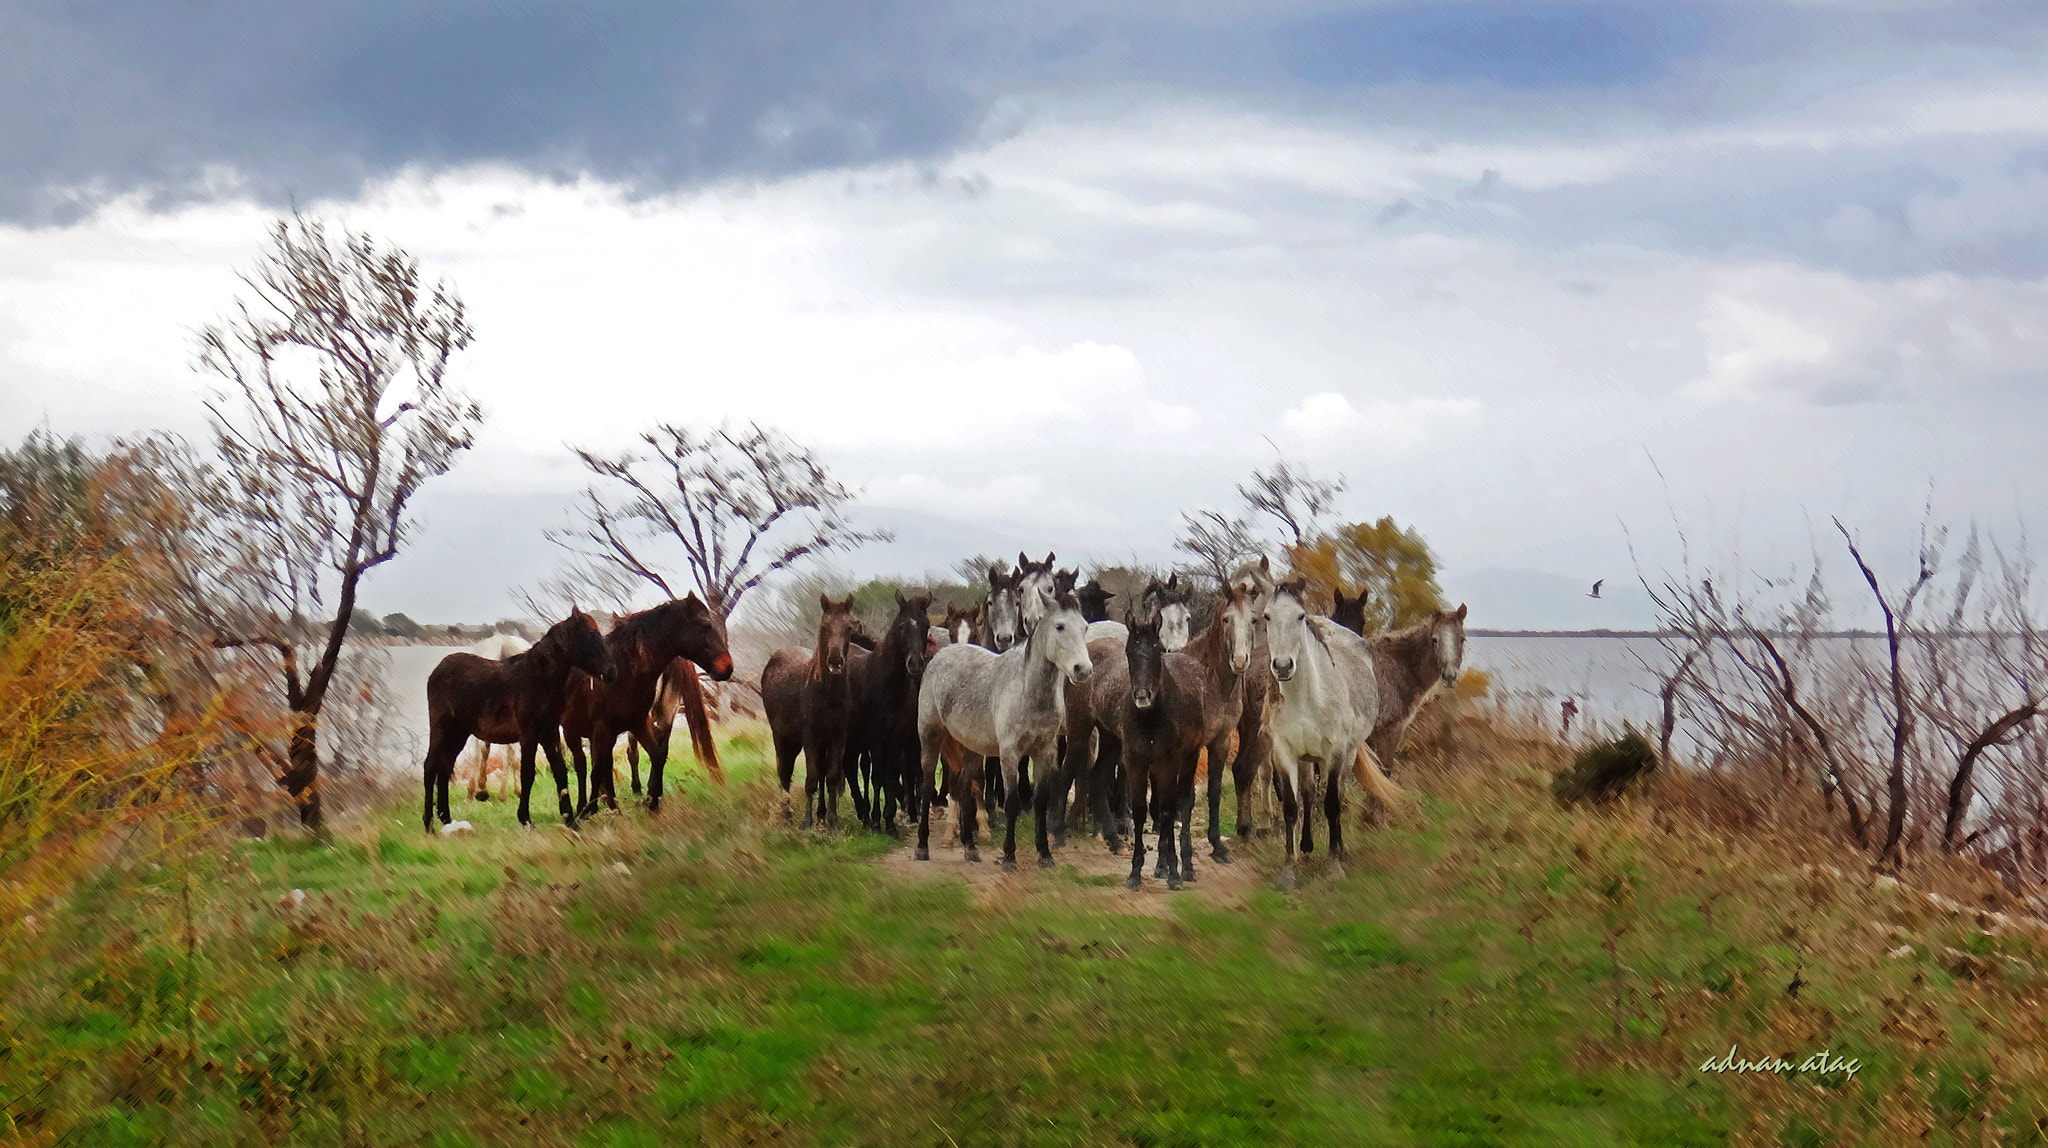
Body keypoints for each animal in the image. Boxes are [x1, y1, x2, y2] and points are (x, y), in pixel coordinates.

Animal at [421, 609, 614, 830]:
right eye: (590, 636)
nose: (612, 670)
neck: (538, 680)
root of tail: (437, 670)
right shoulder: (529, 735)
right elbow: (527, 773)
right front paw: (526, 819)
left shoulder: (549, 733)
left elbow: (560, 771)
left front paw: (570, 819)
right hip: (441, 728)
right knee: (430, 766)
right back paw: (429, 823)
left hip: (458, 733)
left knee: (445, 768)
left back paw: (446, 817)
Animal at [561, 589, 737, 814]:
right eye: (706, 624)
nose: (727, 668)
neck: (622, 672)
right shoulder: (604, 728)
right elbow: (600, 767)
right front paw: (594, 808)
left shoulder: (637, 723)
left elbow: (656, 755)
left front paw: (652, 800)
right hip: (572, 731)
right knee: (583, 765)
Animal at [921, 585, 1097, 863]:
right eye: (1059, 626)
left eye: (1085, 627)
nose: (1083, 670)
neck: (1028, 691)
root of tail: (939, 656)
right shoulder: (1010, 754)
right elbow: (1012, 802)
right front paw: (1009, 856)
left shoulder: (1045, 751)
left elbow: (1040, 800)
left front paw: (1044, 854)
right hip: (931, 737)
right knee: (928, 785)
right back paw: (922, 847)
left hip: (971, 747)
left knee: (962, 787)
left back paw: (970, 848)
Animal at [1261, 577, 1409, 892]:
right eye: (1267, 616)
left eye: (1300, 616)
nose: (1283, 666)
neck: (1306, 696)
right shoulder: (1283, 751)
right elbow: (1291, 806)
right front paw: (1289, 869)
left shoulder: (1336, 751)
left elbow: (1331, 804)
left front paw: (1334, 865)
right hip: (1307, 758)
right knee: (1307, 793)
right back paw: (1306, 848)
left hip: (1346, 754)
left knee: (1337, 793)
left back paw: (1339, 849)